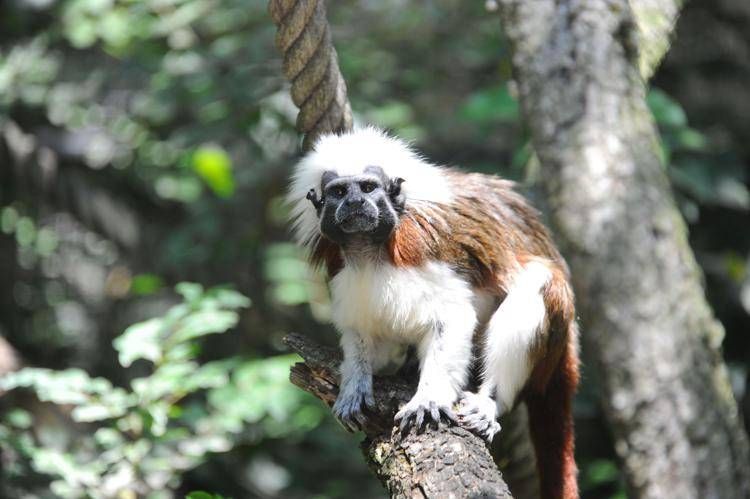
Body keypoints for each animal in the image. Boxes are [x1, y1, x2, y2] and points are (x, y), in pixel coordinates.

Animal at [288, 127, 580, 498]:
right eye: (339, 192)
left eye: (367, 187)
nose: (354, 203)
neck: (369, 252)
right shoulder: (343, 273)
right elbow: (363, 335)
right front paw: (354, 384)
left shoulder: (421, 251)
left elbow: (453, 317)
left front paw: (428, 397)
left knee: (540, 281)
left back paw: (489, 400)